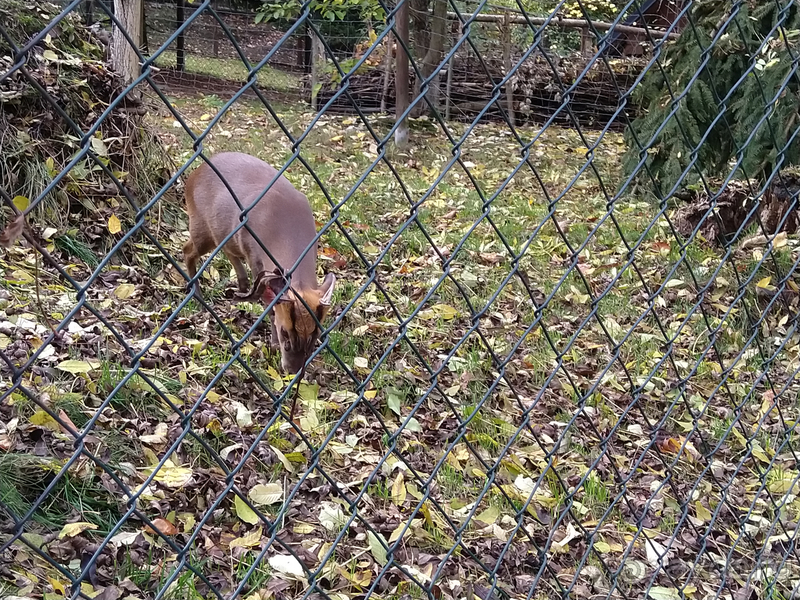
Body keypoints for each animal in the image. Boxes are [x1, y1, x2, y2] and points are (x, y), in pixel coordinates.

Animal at [183, 154, 336, 380]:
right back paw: (199, 298)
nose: (293, 372)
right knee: (187, 250)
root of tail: (194, 174)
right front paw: (272, 344)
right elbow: (269, 306)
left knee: (225, 251)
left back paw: (241, 286)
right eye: (284, 333)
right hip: (201, 227)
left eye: (315, 336)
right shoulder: (253, 253)